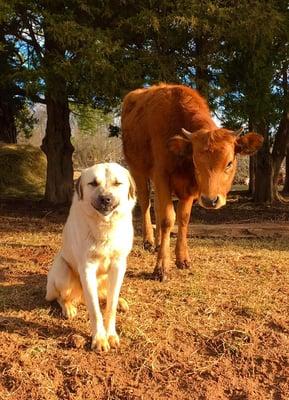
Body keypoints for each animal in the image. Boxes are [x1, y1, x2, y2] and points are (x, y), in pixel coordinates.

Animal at [45, 162, 136, 350]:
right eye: (93, 183)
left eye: (118, 183)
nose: (105, 199)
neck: (105, 225)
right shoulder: (87, 268)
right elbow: (94, 309)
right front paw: (100, 338)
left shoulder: (119, 266)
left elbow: (110, 306)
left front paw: (111, 334)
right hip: (62, 272)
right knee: (60, 297)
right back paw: (68, 307)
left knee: (106, 296)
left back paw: (120, 301)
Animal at [120, 83, 262, 282]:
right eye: (196, 161)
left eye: (229, 163)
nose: (211, 200)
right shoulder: (161, 176)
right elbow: (167, 219)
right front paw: (161, 268)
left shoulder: (188, 190)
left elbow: (183, 218)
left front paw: (182, 259)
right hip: (137, 169)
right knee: (145, 202)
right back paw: (149, 241)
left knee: (156, 206)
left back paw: (158, 243)